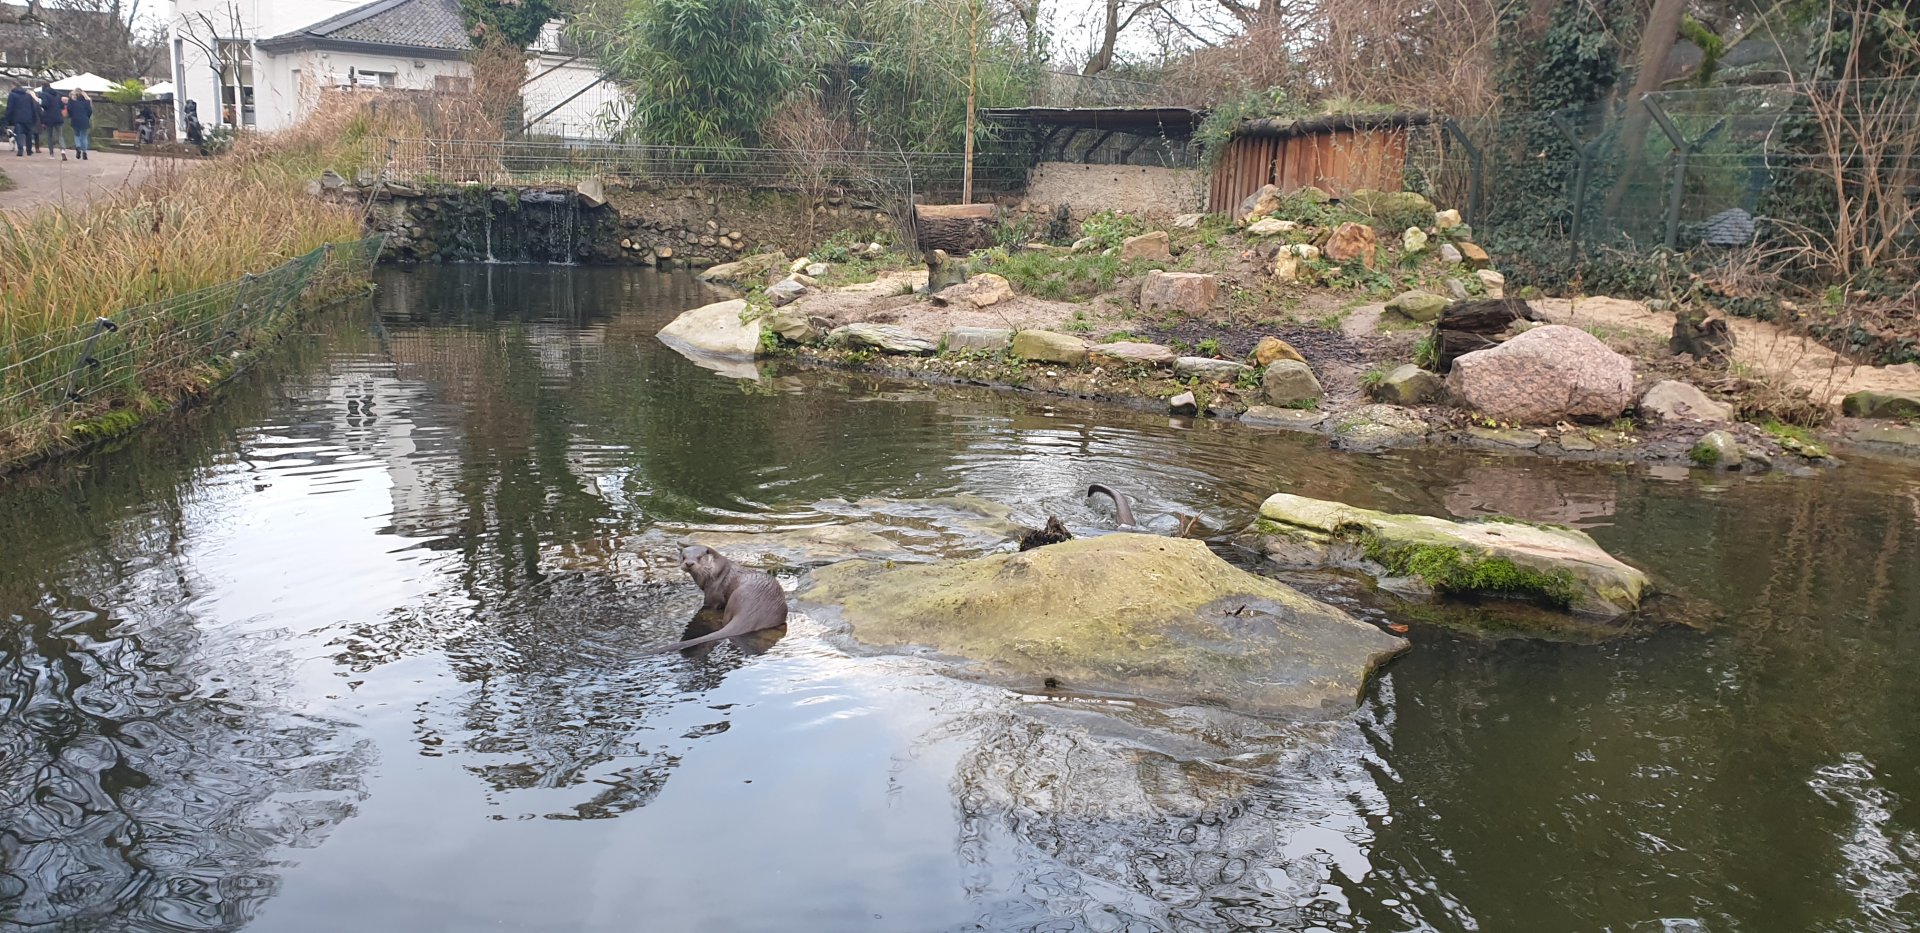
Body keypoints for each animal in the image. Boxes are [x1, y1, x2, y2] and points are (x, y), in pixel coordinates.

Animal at [652, 545, 789, 653]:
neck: (715, 573)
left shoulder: (712, 594)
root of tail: (753, 611)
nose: (689, 563)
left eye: (699, 557)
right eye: (683, 557)